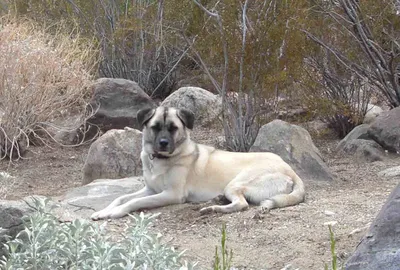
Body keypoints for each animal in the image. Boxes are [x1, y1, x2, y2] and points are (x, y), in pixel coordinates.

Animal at [90, 106, 304, 220]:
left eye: (173, 128)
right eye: (155, 127)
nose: (163, 143)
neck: (161, 160)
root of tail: (291, 171)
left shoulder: (171, 194)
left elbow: (134, 202)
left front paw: (116, 212)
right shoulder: (150, 189)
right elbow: (120, 198)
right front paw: (103, 211)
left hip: (236, 183)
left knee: (242, 204)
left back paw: (212, 209)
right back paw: (215, 203)